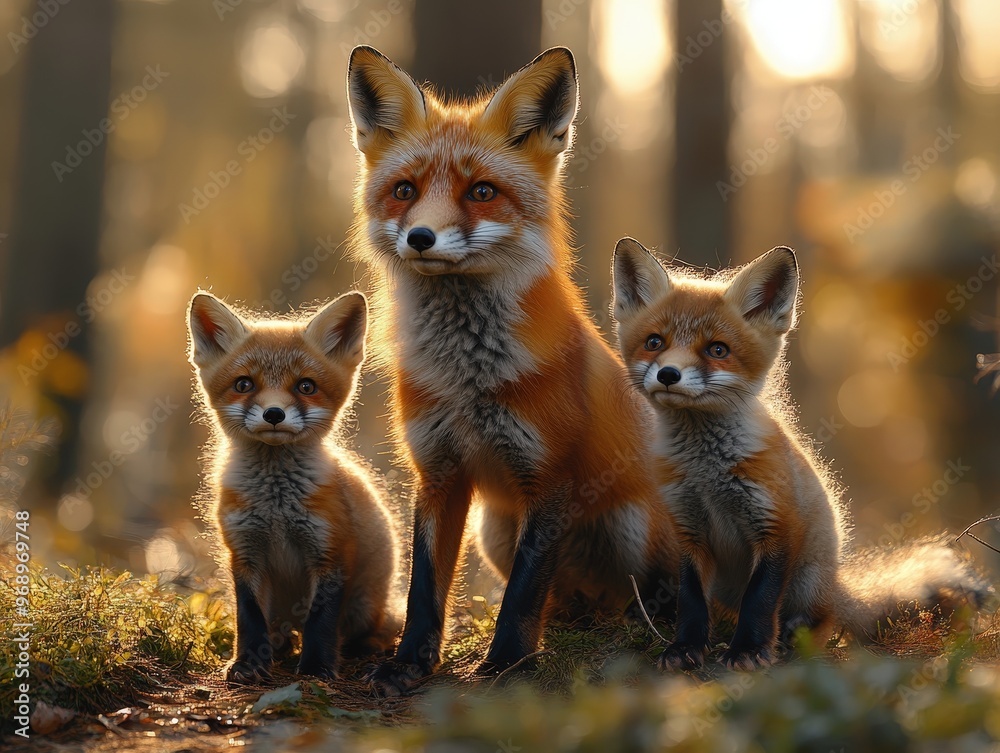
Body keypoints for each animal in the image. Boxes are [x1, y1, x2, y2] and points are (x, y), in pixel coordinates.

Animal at [187, 291, 399, 683]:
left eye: (306, 386)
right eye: (244, 384)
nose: (274, 414)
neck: (276, 508)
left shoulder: (331, 551)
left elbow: (321, 621)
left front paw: (317, 668)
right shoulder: (244, 552)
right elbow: (249, 616)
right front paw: (248, 664)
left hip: (365, 606)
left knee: (375, 629)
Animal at [345, 46, 680, 694]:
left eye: (481, 191)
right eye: (404, 190)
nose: (420, 237)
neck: (466, 381)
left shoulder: (550, 476)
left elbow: (523, 592)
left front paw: (507, 664)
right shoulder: (438, 472)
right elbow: (426, 587)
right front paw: (408, 663)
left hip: (628, 524)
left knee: (640, 594)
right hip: (495, 528)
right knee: (568, 601)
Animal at [611, 237, 989, 670]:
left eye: (717, 350)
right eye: (655, 342)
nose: (668, 374)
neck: (707, 471)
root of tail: (836, 581)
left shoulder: (778, 526)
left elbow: (759, 600)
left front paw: (749, 650)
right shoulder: (688, 530)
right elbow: (690, 600)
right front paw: (685, 647)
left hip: (808, 581)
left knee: (824, 621)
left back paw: (794, 639)